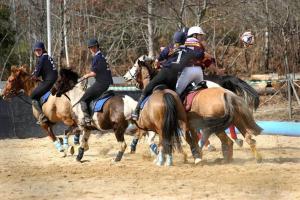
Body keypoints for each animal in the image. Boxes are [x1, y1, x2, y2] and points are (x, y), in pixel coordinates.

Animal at [52, 69, 200, 166]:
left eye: (59, 80)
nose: (53, 91)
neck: (78, 98)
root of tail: (131, 103)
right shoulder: (85, 128)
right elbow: (73, 136)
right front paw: (74, 152)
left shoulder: (82, 125)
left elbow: (75, 137)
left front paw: (72, 152)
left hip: (119, 129)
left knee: (124, 144)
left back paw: (118, 159)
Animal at [123, 55, 262, 163]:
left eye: (135, 66)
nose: (125, 77)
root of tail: (226, 93)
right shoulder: (188, 125)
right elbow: (190, 138)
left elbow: (145, 135)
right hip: (235, 119)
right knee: (246, 139)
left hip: (215, 125)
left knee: (226, 140)